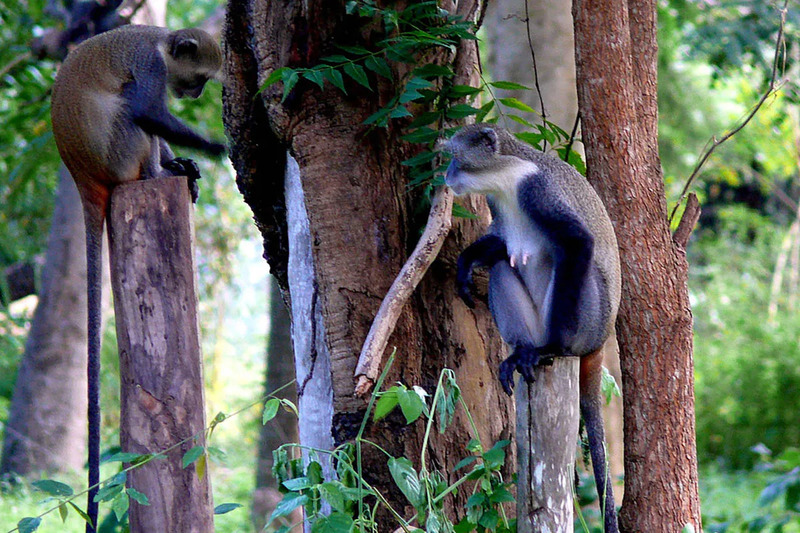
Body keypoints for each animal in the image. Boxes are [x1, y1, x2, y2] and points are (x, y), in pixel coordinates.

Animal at [50, 25, 225, 533]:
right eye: (199, 78)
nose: (198, 93)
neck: (162, 41)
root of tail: (81, 173)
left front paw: (188, 162)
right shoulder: (151, 65)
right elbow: (147, 111)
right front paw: (212, 148)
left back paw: (171, 170)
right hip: (117, 155)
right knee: (131, 113)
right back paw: (154, 173)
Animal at [443, 124, 621, 532]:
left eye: (457, 157)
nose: (447, 174)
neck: (506, 175)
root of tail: (601, 341)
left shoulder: (537, 190)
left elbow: (578, 242)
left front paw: (554, 345)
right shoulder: (497, 206)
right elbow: (500, 246)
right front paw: (466, 263)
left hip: (590, 316)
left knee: (560, 259)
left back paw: (550, 349)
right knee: (503, 267)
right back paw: (522, 350)